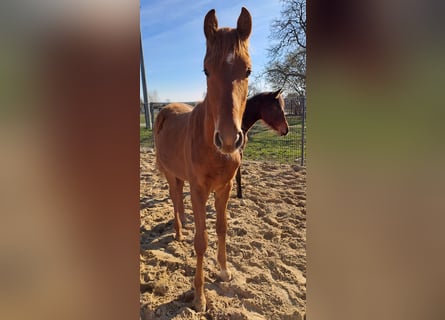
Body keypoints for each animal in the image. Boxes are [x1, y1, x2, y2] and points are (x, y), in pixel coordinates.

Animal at [153, 7, 251, 312]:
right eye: (206, 70)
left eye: (248, 70)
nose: (229, 139)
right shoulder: (199, 190)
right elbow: (201, 241)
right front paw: (199, 297)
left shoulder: (225, 188)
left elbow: (221, 229)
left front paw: (224, 271)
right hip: (171, 173)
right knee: (174, 197)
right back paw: (178, 232)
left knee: (178, 199)